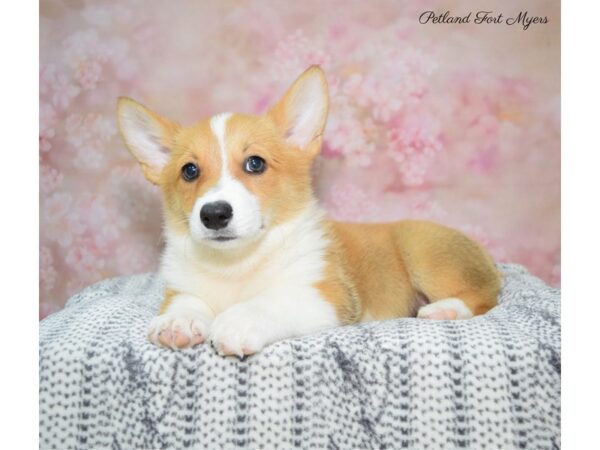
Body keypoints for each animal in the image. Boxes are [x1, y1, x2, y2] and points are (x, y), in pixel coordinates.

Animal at [116, 65, 502, 356]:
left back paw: (444, 309)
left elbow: (273, 300)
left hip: (426, 253)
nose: (213, 214)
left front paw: (238, 320)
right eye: (189, 171)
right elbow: (185, 301)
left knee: (486, 297)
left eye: (255, 163)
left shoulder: (325, 294)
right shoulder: (182, 287)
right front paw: (177, 322)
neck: (236, 265)